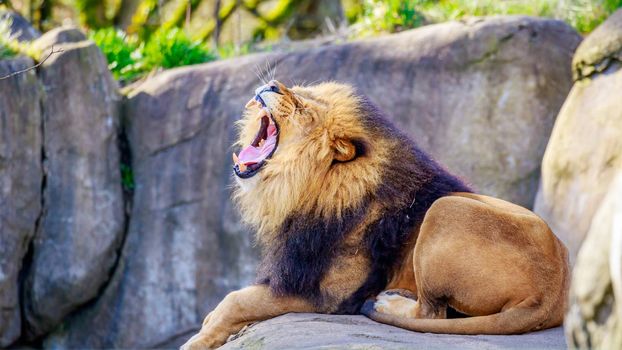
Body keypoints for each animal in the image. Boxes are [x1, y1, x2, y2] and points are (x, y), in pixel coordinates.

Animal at [180, 80, 572, 348]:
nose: (272, 84)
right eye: (299, 89)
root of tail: (552, 295)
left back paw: (388, 303)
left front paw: (197, 340)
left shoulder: (327, 293)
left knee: (431, 312)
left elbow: (236, 301)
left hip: (445, 208)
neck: (308, 187)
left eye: (302, 107)